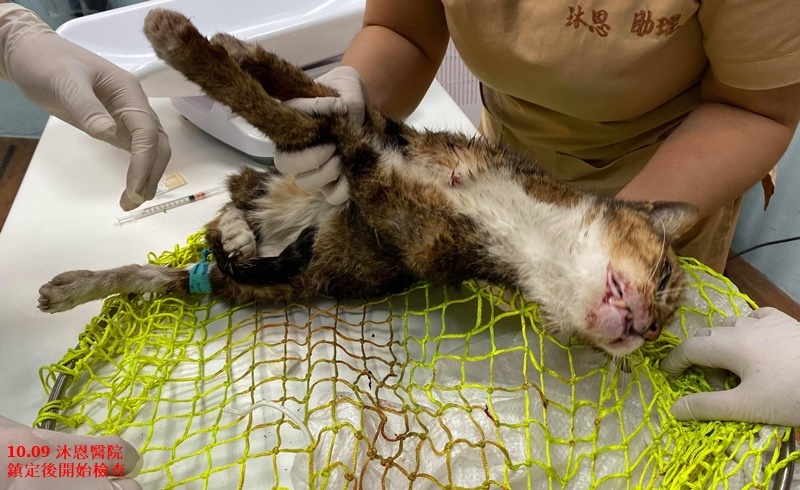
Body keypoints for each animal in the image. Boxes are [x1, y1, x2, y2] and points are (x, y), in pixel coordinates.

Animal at [36, 9, 698, 358]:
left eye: (662, 329)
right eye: (665, 273)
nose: (645, 330)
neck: (525, 227)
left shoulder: (376, 179)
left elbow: (287, 119)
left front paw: (186, 49)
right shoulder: (386, 134)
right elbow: (306, 97)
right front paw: (221, 48)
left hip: (257, 284)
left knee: (171, 273)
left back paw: (77, 285)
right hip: (269, 189)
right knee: (235, 193)